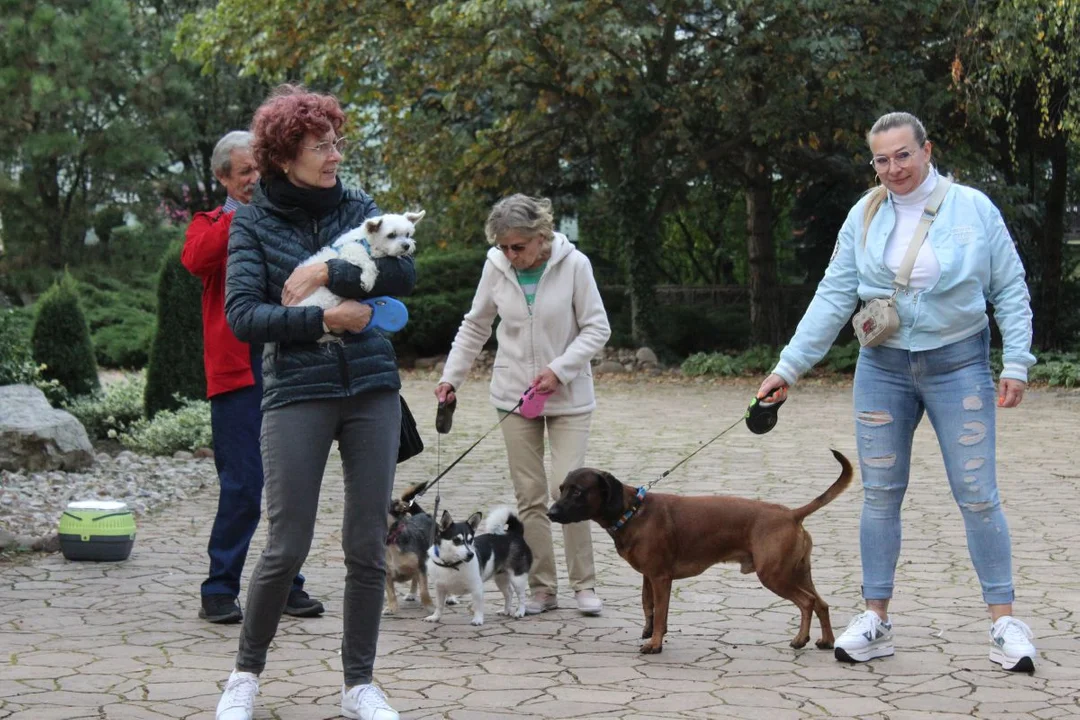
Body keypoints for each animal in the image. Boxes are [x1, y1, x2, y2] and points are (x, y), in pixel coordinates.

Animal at [300, 211, 425, 341]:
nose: (407, 246)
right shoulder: (352, 249)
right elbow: (368, 262)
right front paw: (368, 280)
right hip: (325, 298)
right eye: (391, 235)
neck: (365, 240)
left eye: (407, 234)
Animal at [548, 453, 851, 656]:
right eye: (561, 489)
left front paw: (655, 643)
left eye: (577, 491)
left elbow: (661, 613)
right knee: (822, 604)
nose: (551, 513)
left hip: (775, 576)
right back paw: (826, 641)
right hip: (798, 573)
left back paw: (801, 639)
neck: (632, 512)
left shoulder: (661, 578)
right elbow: (648, 606)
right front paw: (649, 632)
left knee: (807, 602)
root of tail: (791, 514)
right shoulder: (649, 577)